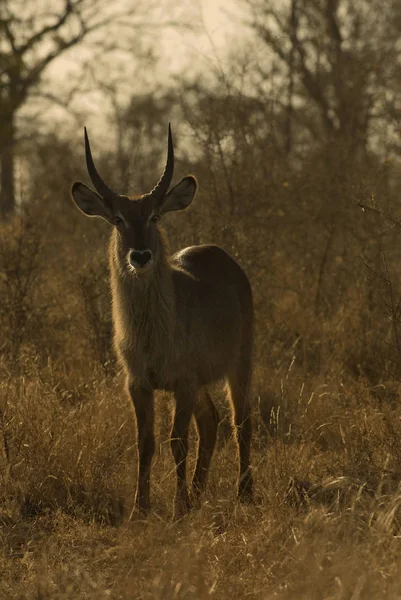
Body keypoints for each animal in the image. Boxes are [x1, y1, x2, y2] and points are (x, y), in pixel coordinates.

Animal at [70, 124, 253, 516]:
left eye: (154, 216)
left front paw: (178, 506)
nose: (140, 255)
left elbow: (177, 441)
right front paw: (141, 508)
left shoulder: (182, 382)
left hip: (240, 363)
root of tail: (220, 254)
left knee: (240, 420)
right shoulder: (139, 384)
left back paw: (243, 492)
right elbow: (146, 442)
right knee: (211, 421)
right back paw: (199, 492)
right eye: (118, 219)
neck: (151, 332)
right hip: (200, 383)